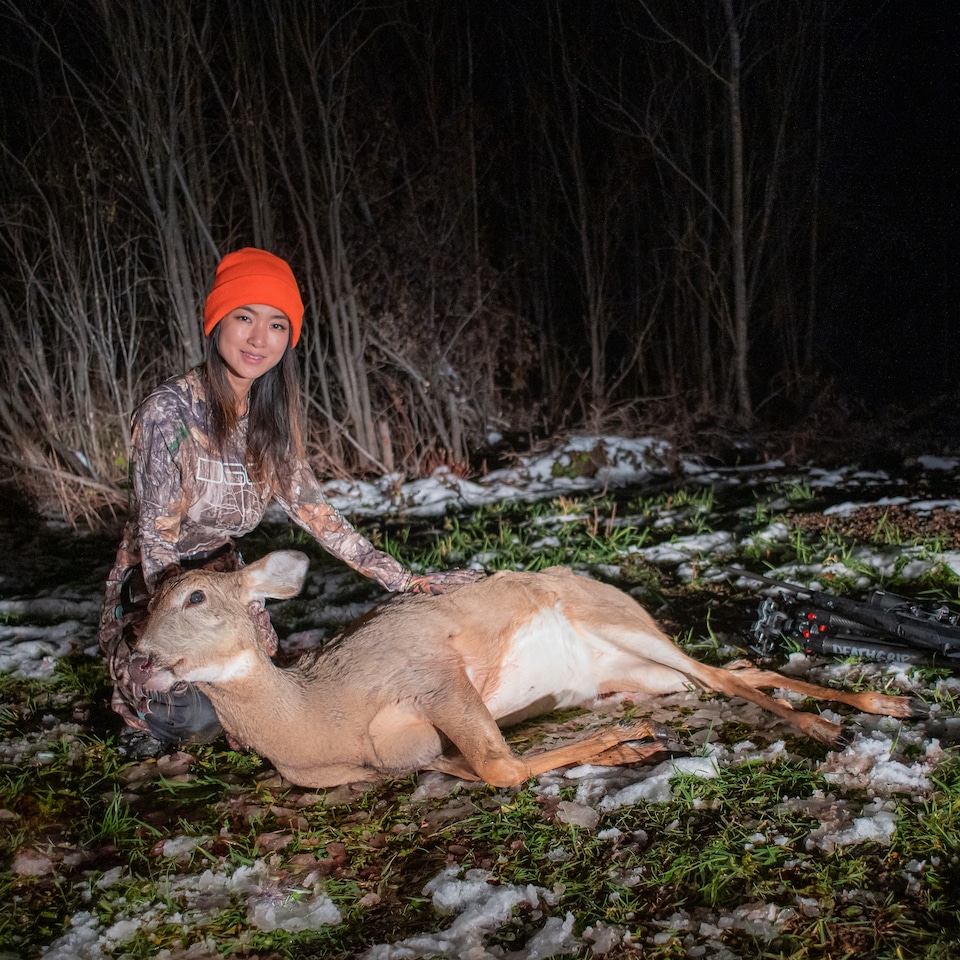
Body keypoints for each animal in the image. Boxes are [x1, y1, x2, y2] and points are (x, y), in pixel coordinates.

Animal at [129, 556, 928, 788]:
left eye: (195, 596)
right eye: (144, 600)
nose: (139, 658)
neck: (320, 722)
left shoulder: (433, 673)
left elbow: (504, 767)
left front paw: (628, 744)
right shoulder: (418, 756)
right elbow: (484, 767)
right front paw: (629, 745)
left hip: (622, 623)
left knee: (728, 677)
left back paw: (835, 724)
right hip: (634, 670)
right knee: (726, 669)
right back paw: (876, 707)